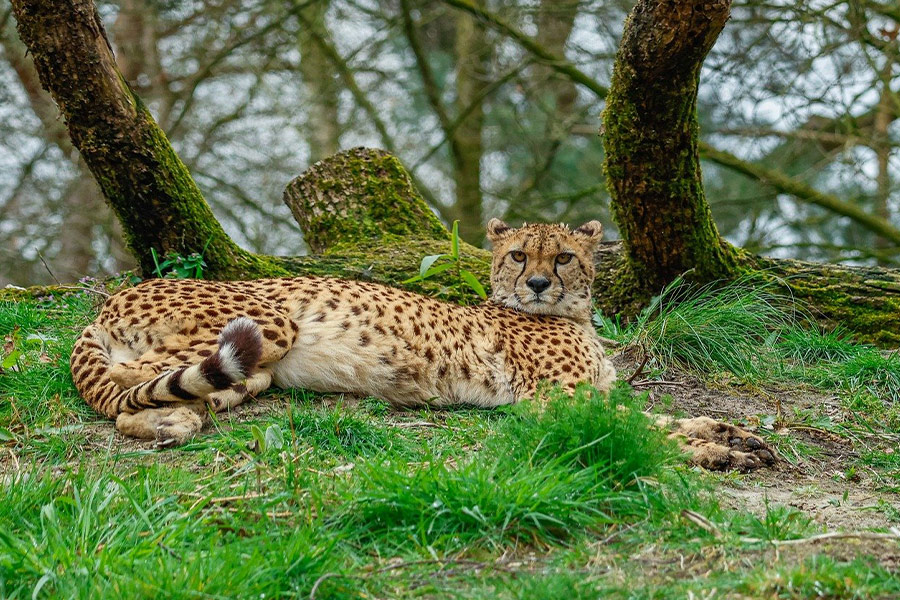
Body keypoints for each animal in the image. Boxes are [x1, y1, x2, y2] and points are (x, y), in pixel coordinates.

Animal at [70, 219, 775, 471]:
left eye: (564, 256)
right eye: (518, 255)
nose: (539, 284)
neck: (571, 316)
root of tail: (119, 293)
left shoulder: (592, 394)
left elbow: (656, 415)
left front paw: (730, 434)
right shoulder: (558, 404)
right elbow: (641, 428)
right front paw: (716, 451)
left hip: (253, 371)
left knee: (161, 391)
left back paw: (178, 419)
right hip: (265, 326)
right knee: (122, 388)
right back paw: (167, 420)